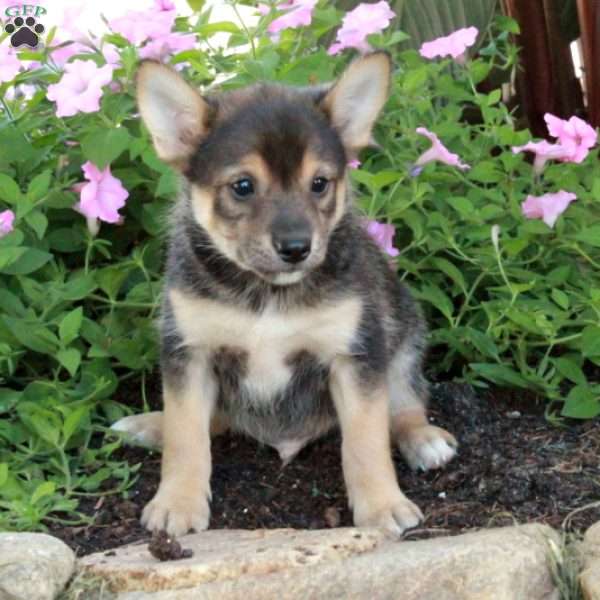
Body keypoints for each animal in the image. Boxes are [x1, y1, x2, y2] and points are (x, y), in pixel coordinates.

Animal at [113, 52, 454, 540]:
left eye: (320, 183)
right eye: (242, 186)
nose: (296, 247)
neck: (267, 293)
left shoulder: (356, 355)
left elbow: (366, 441)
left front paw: (383, 505)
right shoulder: (188, 353)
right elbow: (186, 436)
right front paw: (176, 502)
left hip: (403, 336)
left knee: (406, 403)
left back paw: (423, 439)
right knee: (212, 421)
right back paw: (147, 425)